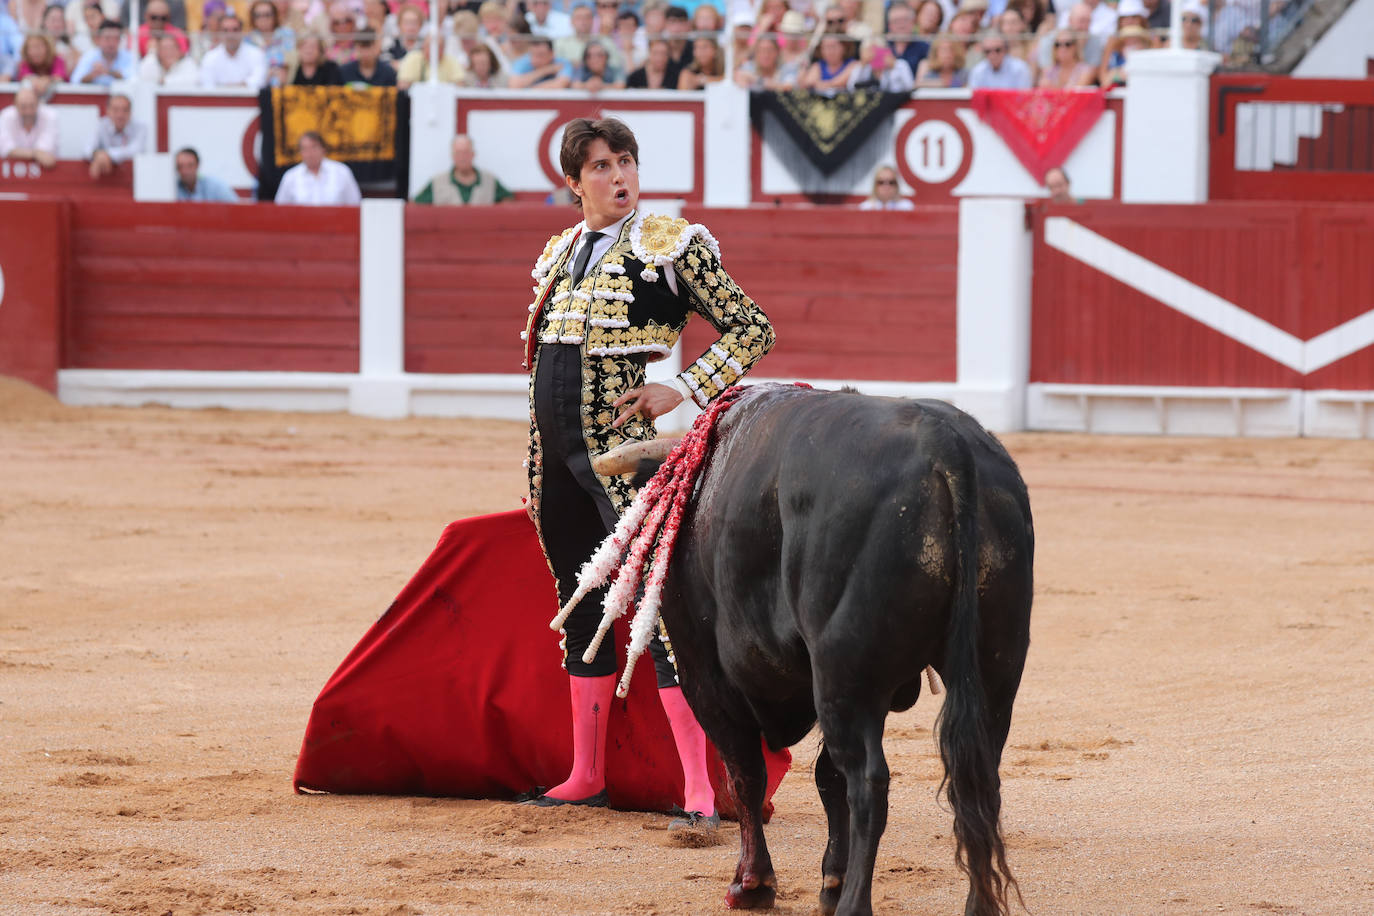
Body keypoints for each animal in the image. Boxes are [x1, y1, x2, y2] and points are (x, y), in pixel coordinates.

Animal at [654, 384, 1033, 916]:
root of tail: (945, 443)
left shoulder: (703, 671)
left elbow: (746, 772)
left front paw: (753, 885)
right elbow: (824, 776)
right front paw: (828, 881)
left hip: (845, 675)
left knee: (870, 784)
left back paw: (855, 902)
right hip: (994, 667)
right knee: (980, 777)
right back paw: (975, 906)